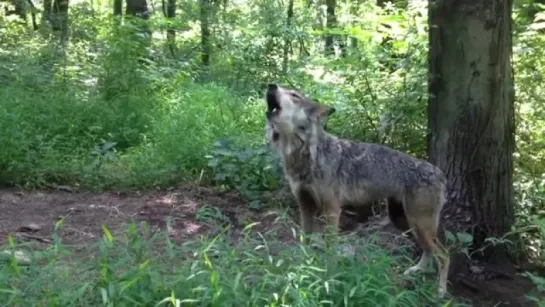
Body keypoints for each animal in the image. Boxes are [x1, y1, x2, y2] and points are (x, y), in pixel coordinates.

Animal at [264, 83, 450, 298]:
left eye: (294, 95)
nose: (271, 85)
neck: (304, 154)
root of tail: (440, 173)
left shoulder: (332, 211)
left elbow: (330, 249)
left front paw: (328, 277)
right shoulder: (305, 207)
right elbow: (305, 243)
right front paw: (302, 270)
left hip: (418, 223)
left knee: (445, 255)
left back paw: (440, 292)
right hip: (406, 222)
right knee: (428, 250)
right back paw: (417, 270)